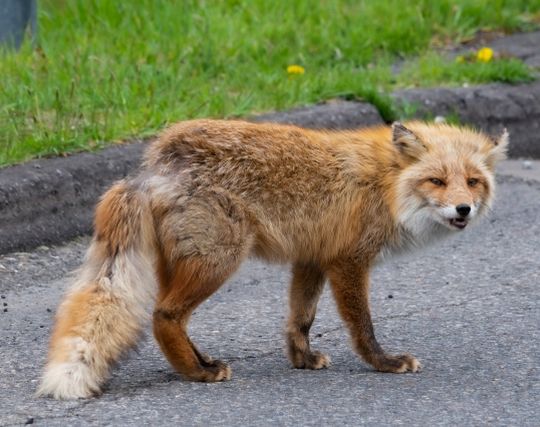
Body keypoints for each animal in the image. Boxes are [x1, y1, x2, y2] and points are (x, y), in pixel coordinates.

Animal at [38, 118, 506, 400]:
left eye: (472, 182)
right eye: (437, 181)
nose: (463, 209)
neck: (385, 185)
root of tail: (154, 163)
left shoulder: (312, 258)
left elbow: (301, 319)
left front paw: (302, 361)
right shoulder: (348, 261)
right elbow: (362, 327)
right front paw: (384, 364)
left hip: (188, 263)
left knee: (173, 317)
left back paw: (201, 363)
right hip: (219, 260)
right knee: (164, 315)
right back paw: (197, 373)